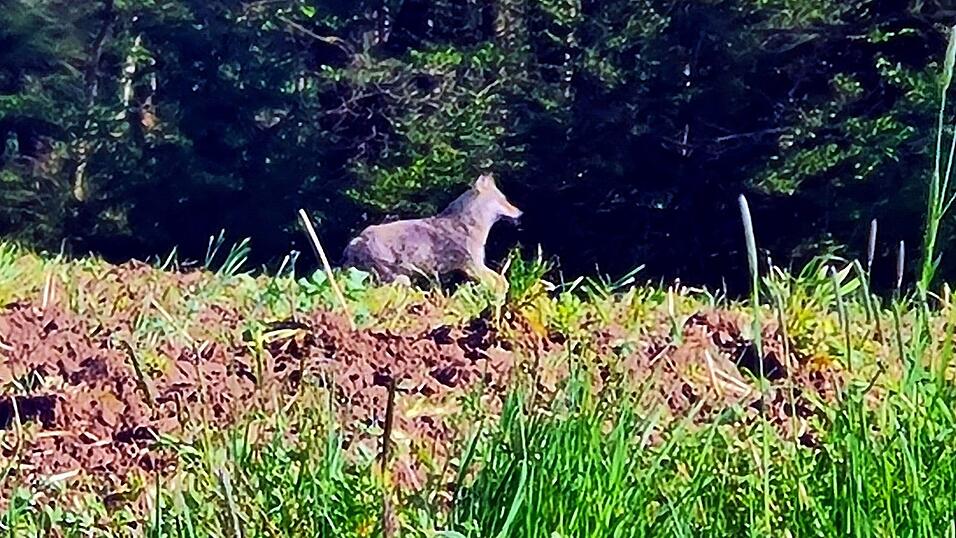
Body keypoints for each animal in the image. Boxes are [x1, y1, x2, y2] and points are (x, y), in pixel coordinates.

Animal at [342, 173, 522, 288]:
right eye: (503, 200)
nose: (520, 212)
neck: (468, 226)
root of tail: (355, 242)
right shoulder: (473, 266)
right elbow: (500, 282)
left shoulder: (476, 266)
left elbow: (501, 281)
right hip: (399, 279)